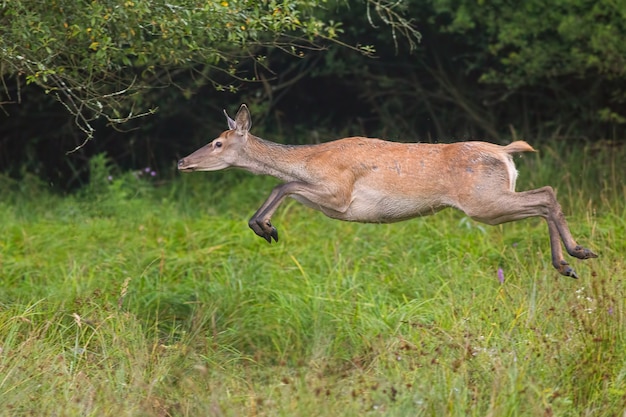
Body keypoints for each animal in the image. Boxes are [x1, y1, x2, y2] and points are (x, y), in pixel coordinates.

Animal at [177, 104, 596, 278]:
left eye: (217, 142)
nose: (182, 161)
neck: (310, 159)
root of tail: (506, 152)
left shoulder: (339, 195)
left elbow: (286, 183)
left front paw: (266, 228)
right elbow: (285, 185)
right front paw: (265, 227)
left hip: (483, 202)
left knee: (545, 194)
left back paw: (574, 255)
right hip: (490, 199)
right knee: (545, 196)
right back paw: (571, 262)